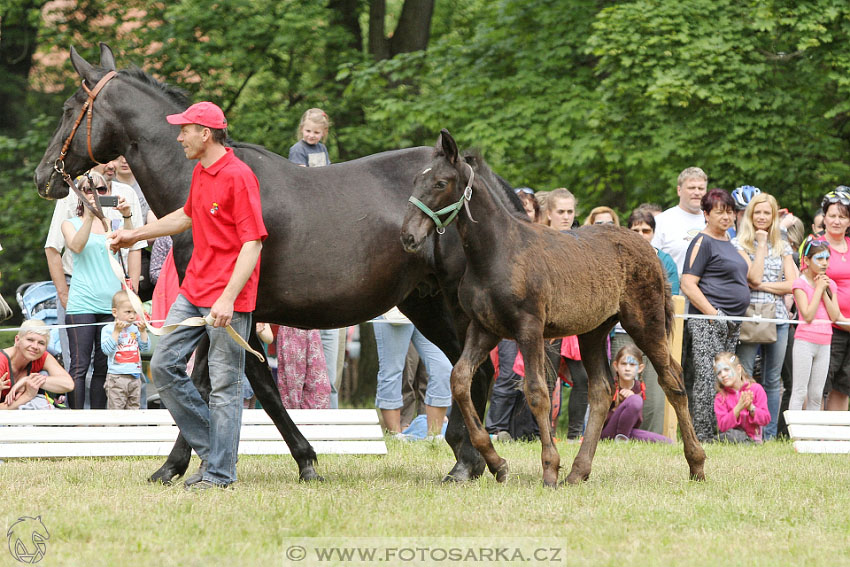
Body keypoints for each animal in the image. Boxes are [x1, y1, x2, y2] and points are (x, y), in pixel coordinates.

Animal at [33, 44, 516, 486]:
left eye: (68, 109)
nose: (43, 177)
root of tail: (472, 176)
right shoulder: (211, 311)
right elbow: (211, 384)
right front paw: (189, 464)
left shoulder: (234, 310)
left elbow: (249, 385)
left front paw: (297, 461)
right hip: (424, 303)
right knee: (473, 371)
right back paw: (470, 458)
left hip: (456, 305)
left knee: (474, 371)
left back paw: (467, 461)